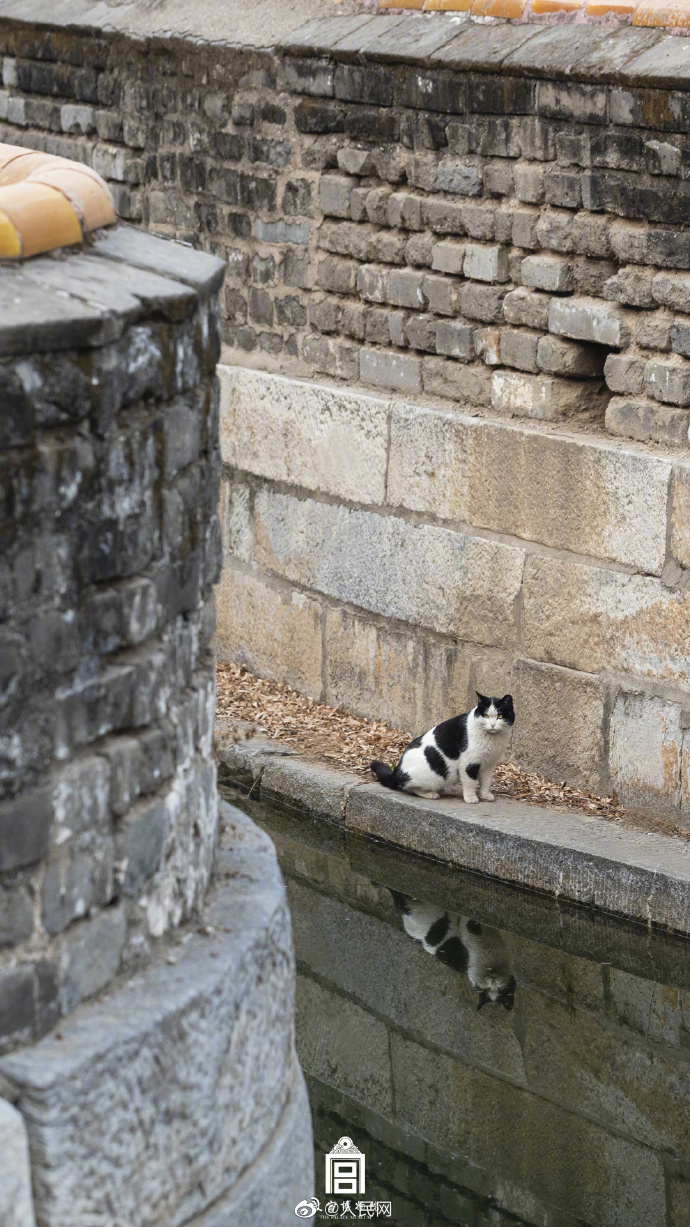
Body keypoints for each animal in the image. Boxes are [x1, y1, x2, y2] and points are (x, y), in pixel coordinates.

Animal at [370, 692, 510, 804]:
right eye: (486, 716)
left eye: (500, 716)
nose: (492, 725)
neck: (492, 739)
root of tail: (396, 771)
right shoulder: (468, 763)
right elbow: (470, 782)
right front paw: (471, 798)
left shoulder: (488, 764)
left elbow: (486, 782)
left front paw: (486, 795)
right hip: (432, 776)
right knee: (409, 787)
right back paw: (431, 793)